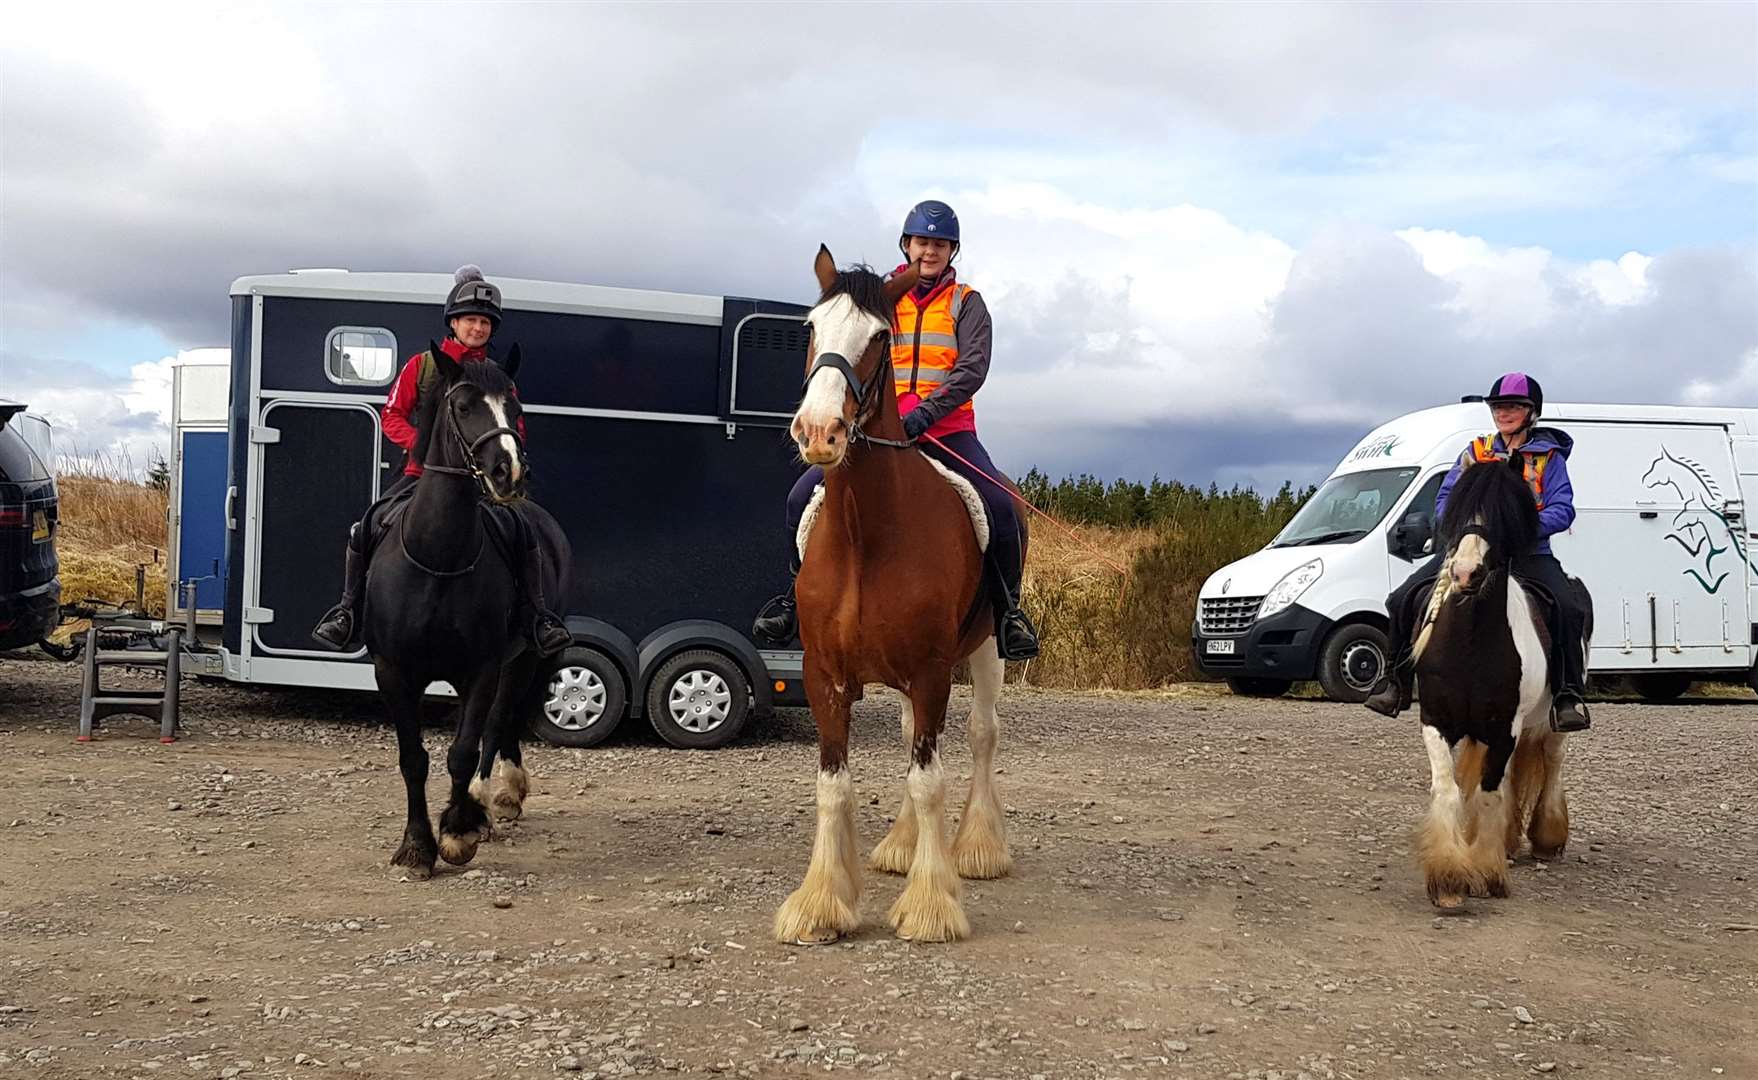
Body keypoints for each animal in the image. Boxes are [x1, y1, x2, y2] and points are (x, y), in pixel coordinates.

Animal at [362, 346, 569, 879]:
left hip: (526, 655)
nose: (508, 473)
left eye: (514, 407)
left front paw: (456, 832)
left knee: (499, 721)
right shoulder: (394, 671)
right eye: (462, 406)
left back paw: (495, 796)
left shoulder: (481, 668)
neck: (439, 557)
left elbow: (462, 750)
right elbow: (413, 759)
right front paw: (417, 846)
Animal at [773, 249, 1012, 942]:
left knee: (982, 734)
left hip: (987, 652)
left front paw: (931, 903)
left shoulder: (932, 671)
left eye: (881, 337)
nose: (819, 432)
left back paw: (977, 848)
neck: (866, 534)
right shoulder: (824, 673)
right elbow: (834, 785)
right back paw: (903, 846)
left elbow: (930, 779)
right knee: (912, 736)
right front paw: (822, 901)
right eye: (811, 329)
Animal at [1406, 457, 1589, 914]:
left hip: (1547, 725)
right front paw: (1449, 877)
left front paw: (1487, 872)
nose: (1465, 573)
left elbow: (1488, 794)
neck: (1470, 641)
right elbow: (1450, 789)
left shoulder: (1506, 727)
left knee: (1551, 762)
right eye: (1456, 507)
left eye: (1506, 513)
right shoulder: (1436, 721)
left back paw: (1545, 838)